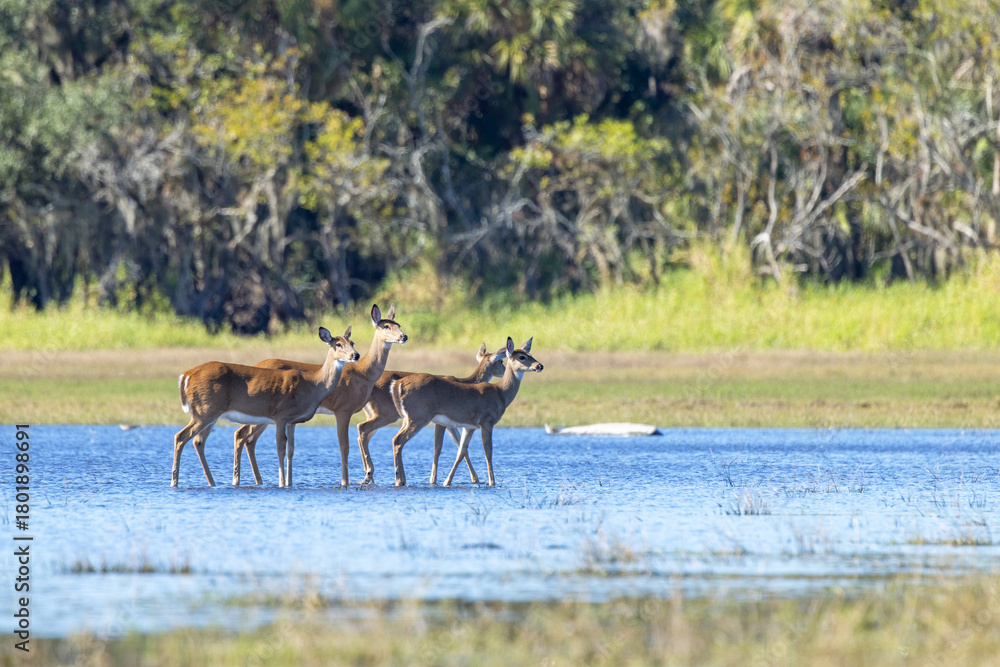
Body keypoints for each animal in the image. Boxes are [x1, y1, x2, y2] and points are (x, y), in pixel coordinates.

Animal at [172, 326, 359, 488]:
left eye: (353, 342)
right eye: (338, 344)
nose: (355, 355)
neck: (312, 386)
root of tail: (186, 375)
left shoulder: (292, 421)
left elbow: (291, 450)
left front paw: (289, 483)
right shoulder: (281, 416)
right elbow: (280, 448)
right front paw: (282, 483)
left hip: (210, 414)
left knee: (198, 441)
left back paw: (212, 483)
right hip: (204, 411)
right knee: (180, 437)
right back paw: (174, 482)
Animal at [228, 304, 407, 486]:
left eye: (398, 324)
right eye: (386, 326)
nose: (403, 336)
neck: (363, 373)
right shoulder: (343, 410)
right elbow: (344, 446)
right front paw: (346, 482)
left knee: (248, 439)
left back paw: (257, 481)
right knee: (241, 435)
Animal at [356, 342, 509, 485]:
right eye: (501, 361)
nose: (506, 370)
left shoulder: (451, 423)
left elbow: (460, 446)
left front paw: (474, 478)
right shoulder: (443, 422)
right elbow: (439, 448)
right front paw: (436, 480)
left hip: (377, 415)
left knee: (362, 433)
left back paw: (368, 475)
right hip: (388, 415)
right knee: (365, 429)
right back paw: (375, 474)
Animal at [389, 337, 542, 487]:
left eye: (530, 354)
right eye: (522, 357)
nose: (539, 366)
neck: (500, 393)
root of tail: (397, 385)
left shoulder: (469, 427)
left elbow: (461, 451)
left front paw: (447, 481)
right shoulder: (487, 422)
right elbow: (488, 452)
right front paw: (492, 482)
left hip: (408, 418)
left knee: (397, 440)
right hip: (418, 416)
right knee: (398, 440)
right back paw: (399, 480)